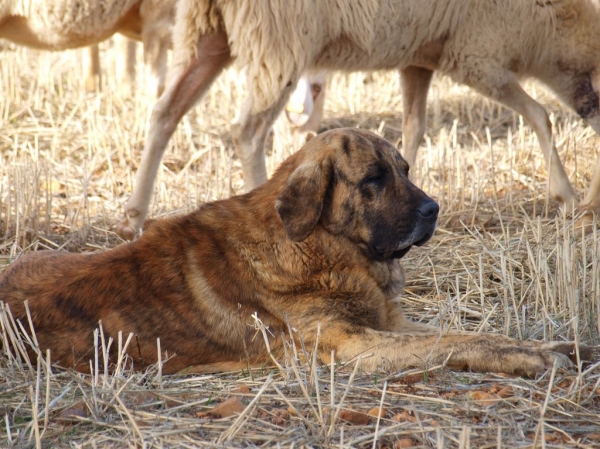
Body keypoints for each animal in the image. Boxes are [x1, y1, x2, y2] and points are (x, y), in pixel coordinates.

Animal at [0, 129, 596, 374]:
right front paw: (533, 357)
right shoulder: (354, 345)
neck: (319, 247)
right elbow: (454, 341)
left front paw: (560, 346)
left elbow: (465, 332)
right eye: (374, 179)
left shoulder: (388, 324)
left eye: (405, 170)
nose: (434, 209)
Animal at [91, 0, 600, 236]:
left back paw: (133, 216)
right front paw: (566, 195)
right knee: (249, 130)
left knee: (165, 112)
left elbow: (413, 127)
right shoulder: (475, 54)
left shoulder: (420, 57)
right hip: (279, 40)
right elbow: (540, 115)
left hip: (205, 31)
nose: (594, 112)